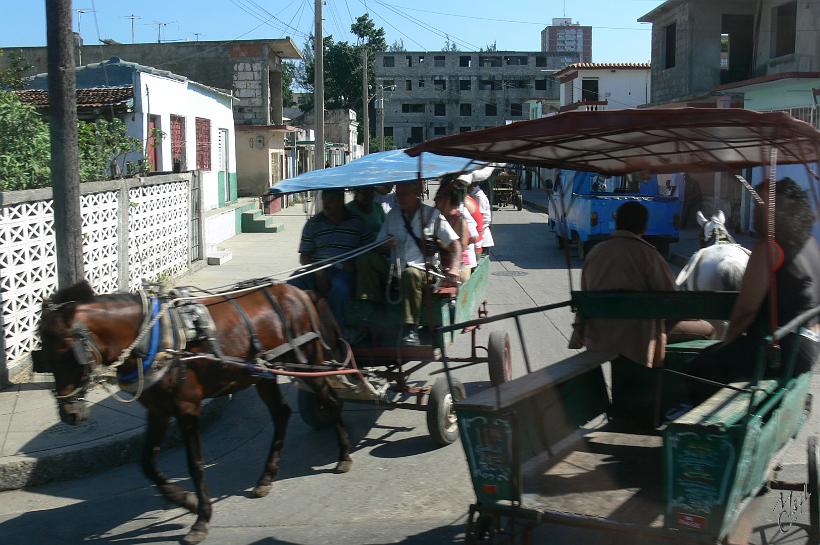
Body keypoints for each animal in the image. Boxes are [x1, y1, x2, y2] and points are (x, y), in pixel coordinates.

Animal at [36, 280, 352, 544]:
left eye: (66, 352)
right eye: (43, 356)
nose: (69, 413)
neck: (152, 337)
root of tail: (302, 292)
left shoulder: (188, 409)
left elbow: (195, 464)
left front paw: (201, 518)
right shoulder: (158, 411)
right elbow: (147, 463)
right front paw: (185, 500)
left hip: (305, 363)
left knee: (331, 402)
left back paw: (344, 457)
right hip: (264, 373)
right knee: (282, 414)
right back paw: (266, 478)